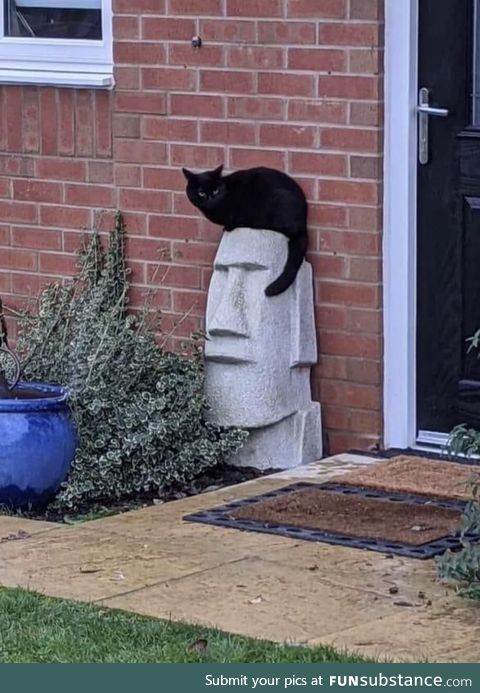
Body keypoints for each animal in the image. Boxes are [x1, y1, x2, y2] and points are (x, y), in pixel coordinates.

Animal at [180, 168, 308, 298]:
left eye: (215, 190)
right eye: (201, 192)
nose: (210, 197)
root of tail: (303, 224)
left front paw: (229, 227)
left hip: (279, 202)